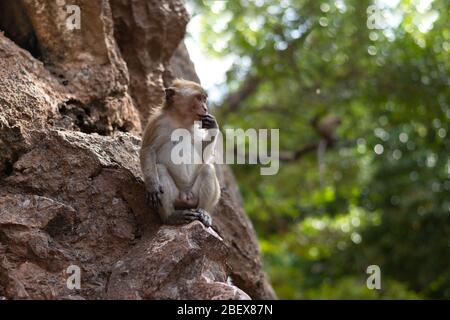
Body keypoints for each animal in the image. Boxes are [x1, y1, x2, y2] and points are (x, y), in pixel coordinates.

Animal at [139, 79, 220, 226]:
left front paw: (213, 125)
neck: (181, 120)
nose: (205, 108)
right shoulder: (157, 122)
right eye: (199, 98)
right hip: (176, 197)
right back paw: (171, 216)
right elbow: (148, 150)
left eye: (204, 99)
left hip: (194, 196)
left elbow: (203, 155)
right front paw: (152, 185)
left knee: (208, 169)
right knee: (160, 169)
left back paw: (204, 212)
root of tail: (185, 197)